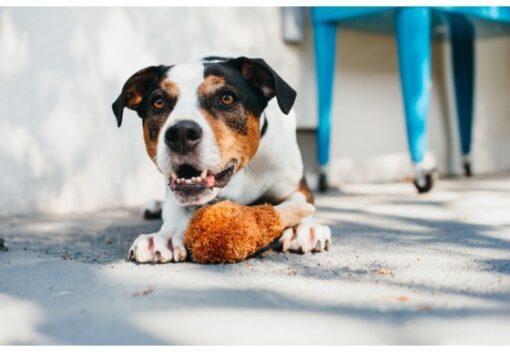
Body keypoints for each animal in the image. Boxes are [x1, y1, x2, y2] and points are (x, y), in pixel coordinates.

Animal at [112, 55, 330, 262]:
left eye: (226, 98)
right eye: (158, 102)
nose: (181, 133)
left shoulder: (295, 185)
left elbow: (303, 203)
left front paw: (302, 229)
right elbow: (175, 210)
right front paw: (165, 236)